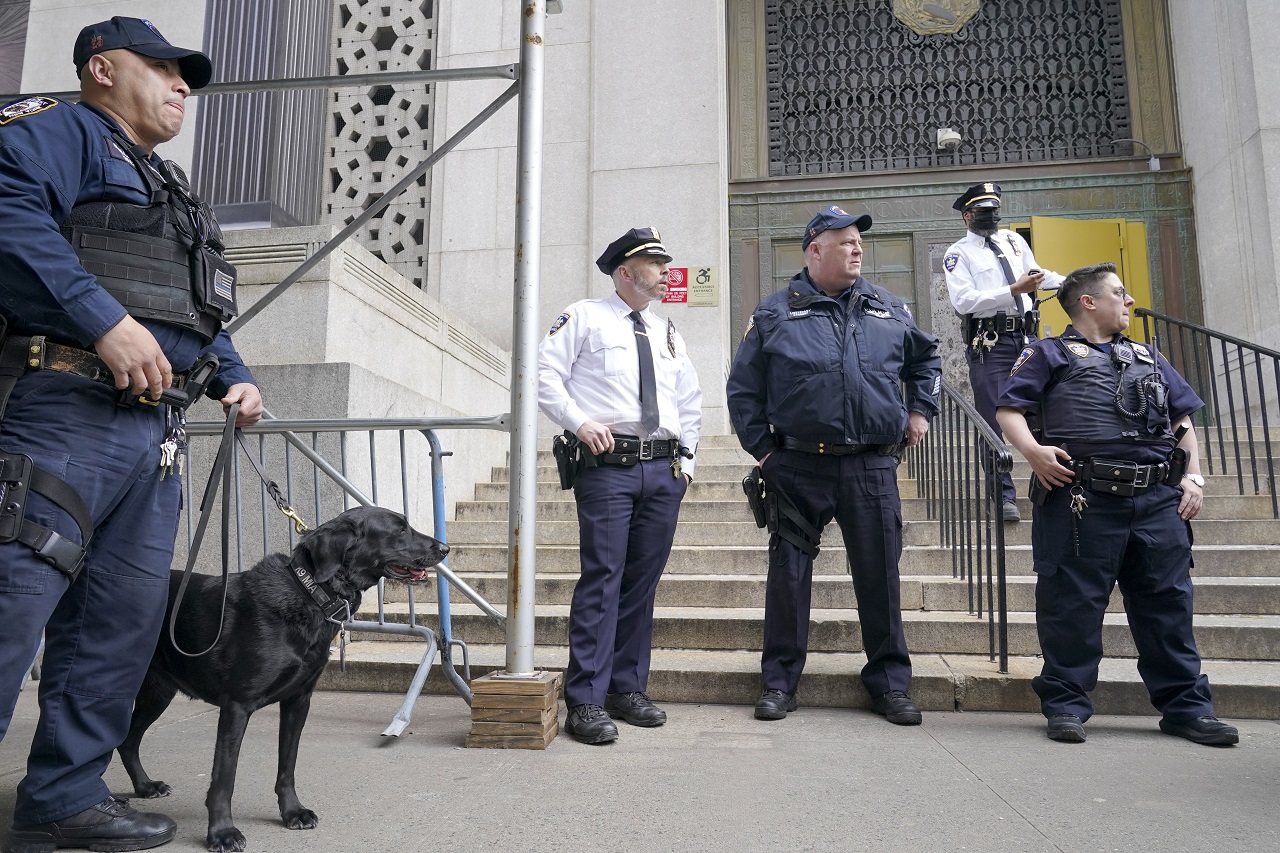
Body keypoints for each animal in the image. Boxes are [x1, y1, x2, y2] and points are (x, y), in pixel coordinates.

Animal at [119, 507, 450, 845]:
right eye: (399, 530)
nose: (445, 548)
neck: (313, 594)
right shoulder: (237, 706)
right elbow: (225, 777)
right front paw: (222, 831)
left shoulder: (298, 700)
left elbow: (287, 766)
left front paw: (292, 812)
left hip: (158, 693)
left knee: (128, 740)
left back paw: (145, 787)